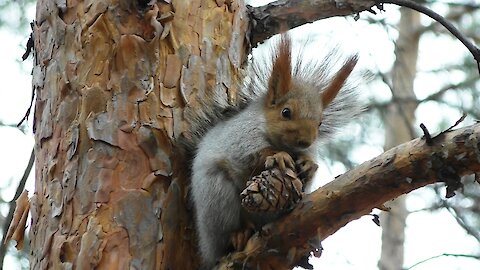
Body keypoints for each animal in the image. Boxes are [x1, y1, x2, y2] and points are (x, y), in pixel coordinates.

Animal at [189, 33, 362, 268]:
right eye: (286, 112)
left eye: (320, 122)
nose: (306, 141)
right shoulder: (239, 137)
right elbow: (247, 154)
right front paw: (277, 155)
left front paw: (308, 164)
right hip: (216, 198)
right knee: (222, 237)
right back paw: (237, 235)